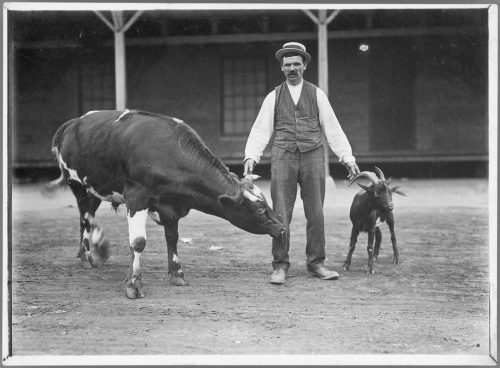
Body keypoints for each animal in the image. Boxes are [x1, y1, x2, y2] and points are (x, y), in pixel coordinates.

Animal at [51, 109, 288, 300]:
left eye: (267, 204)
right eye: (260, 210)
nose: (282, 228)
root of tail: (72, 123)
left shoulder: (171, 206)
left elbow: (172, 238)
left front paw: (177, 273)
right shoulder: (136, 197)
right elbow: (138, 243)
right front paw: (134, 284)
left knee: (87, 220)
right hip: (79, 186)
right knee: (85, 220)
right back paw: (87, 257)